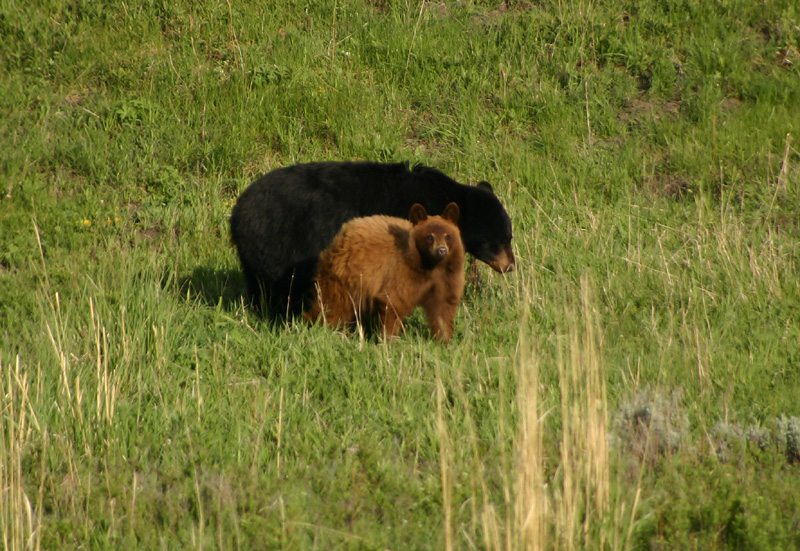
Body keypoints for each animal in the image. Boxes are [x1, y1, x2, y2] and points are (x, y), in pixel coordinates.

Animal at [304, 201, 466, 342]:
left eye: (448, 235)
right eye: (429, 236)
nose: (441, 251)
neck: (431, 266)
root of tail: (341, 235)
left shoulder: (447, 276)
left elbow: (443, 307)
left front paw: (443, 340)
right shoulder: (402, 272)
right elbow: (393, 301)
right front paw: (389, 340)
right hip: (344, 275)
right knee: (331, 304)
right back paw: (317, 325)